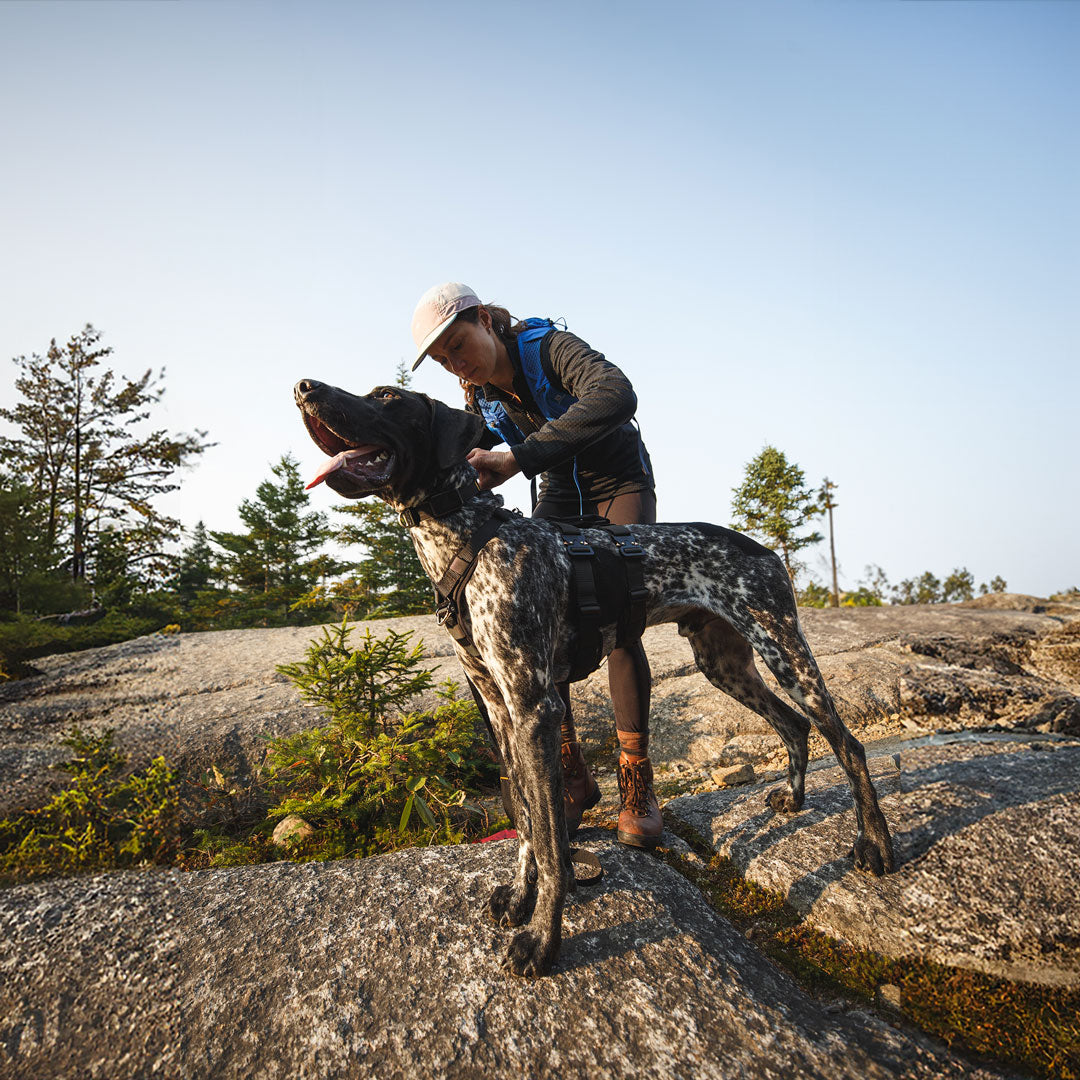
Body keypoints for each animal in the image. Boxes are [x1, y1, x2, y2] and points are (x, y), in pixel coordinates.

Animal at [295, 380, 894, 980]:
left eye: (386, 396)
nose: (304, 387)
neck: (467, 537)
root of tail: (765, 549)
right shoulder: (500, 710)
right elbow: (528, 822)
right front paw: (521, 897)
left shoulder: (533, 706)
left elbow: (553, 846)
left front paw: (543, 940)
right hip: (724, 663)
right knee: (794, 726)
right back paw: (794, 799)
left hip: (783, 650)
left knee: (849, 743)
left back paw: (875, 844)